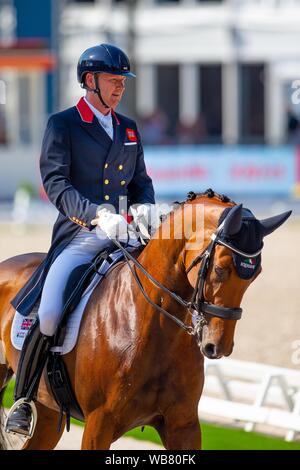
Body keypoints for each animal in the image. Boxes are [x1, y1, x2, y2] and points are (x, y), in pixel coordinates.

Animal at [0, 189, 290, 450]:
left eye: (255, 274)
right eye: (220, 269)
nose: (218, 346)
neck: (153, 327)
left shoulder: (183, 425)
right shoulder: (98, 424)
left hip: (48, 412)